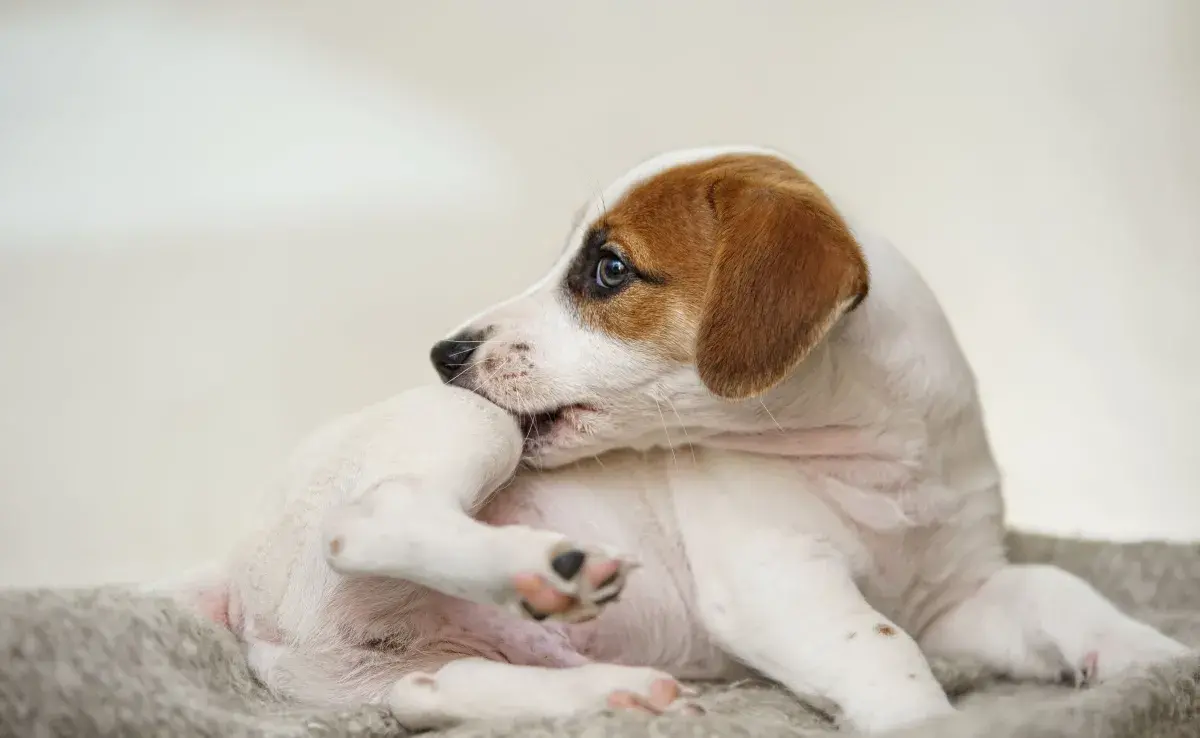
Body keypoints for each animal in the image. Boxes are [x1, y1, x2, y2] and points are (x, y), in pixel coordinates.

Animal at [192, 145, 1185, 734]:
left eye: (608, 269)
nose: (444, 354)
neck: (877, 460)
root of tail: (233, 582)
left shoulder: (958, 596)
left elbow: (1061, 590)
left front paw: (1156, 662)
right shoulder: (776, 581)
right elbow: (883, 648)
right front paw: (927, 722)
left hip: (402, 668)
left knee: (426, 693)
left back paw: (612, 691)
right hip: (469, 430)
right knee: (368, 520)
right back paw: (544, 567)